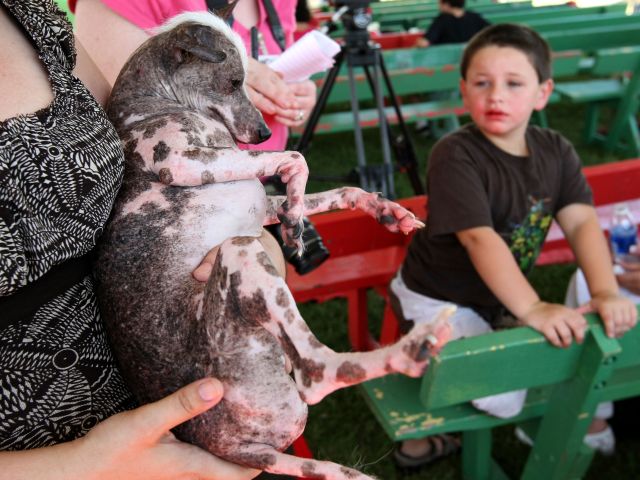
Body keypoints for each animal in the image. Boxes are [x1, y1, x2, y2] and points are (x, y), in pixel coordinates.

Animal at [95, 11, 456, 480]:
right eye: (233, 81)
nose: (264, 131)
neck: (153, 103)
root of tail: (231, 447)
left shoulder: (258, 196)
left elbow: (332, 190)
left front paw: (370, 209)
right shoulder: (180, 160)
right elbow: (296, 158)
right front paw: (297, 212)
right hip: (239, 254)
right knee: (318, 371)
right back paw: (414, 348)